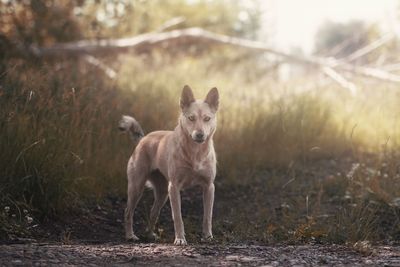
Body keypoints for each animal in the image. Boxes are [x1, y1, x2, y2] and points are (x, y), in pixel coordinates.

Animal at [119, 86, 219, 247]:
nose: (199, 135)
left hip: (162, 193)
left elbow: (207, 216)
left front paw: (208, 237)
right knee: (128, 212)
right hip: (136, 187)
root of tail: (143, 139)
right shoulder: (174, 187)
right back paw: (130, 236)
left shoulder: (209, 187)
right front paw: (180, 239)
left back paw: (150, 235)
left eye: (207, 118)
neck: (195, 152)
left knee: (153, 212)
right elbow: (177, 216)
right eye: (191, 118)